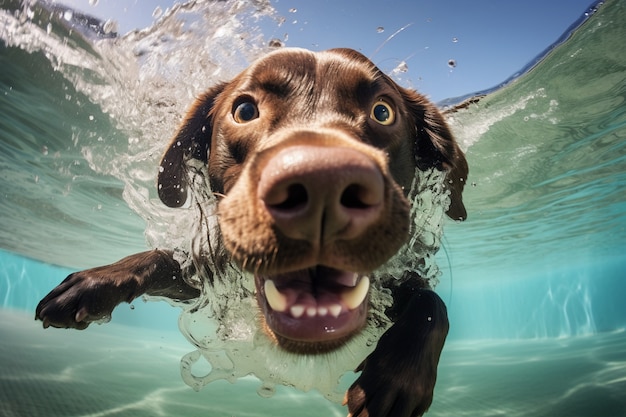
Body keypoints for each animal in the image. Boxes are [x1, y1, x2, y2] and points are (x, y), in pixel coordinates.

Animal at [34, 47, 464, 414]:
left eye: (382, 112)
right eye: (244, 110)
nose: (323, 184)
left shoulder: (401, 279)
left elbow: (432, 305)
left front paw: (397, 380)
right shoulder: (208, 278)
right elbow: (160, 258)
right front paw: (95, 282)